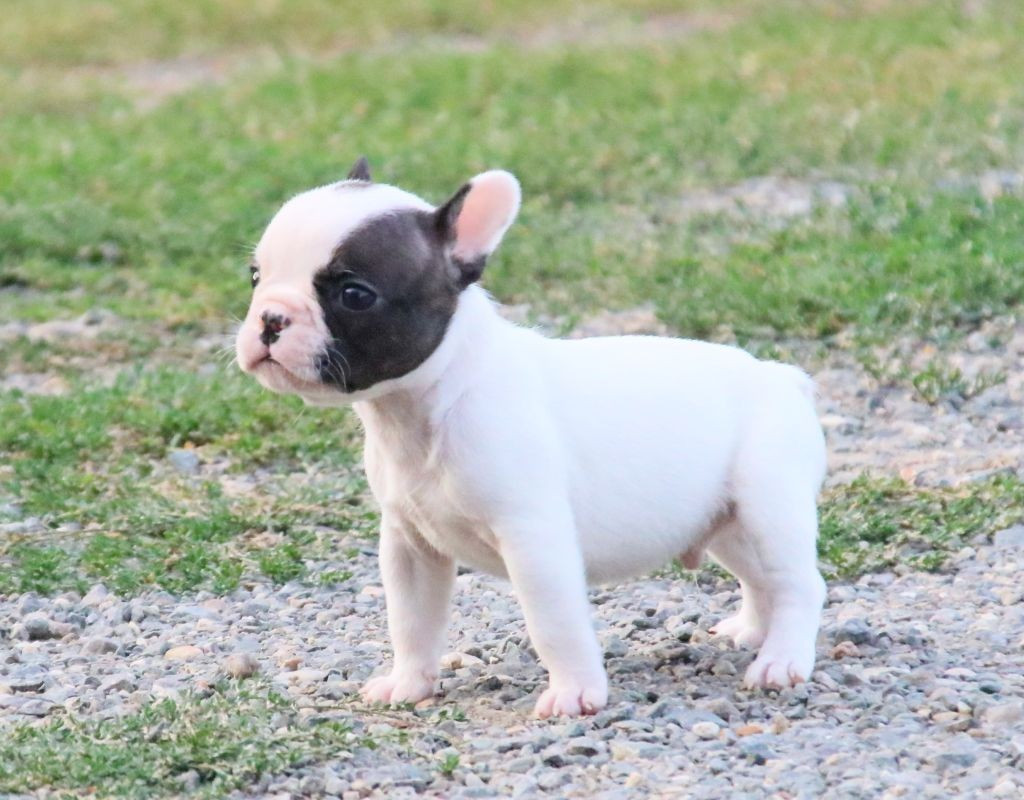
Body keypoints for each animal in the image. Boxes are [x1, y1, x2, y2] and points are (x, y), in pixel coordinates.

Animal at [235, 155, 827, 717]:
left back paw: (781, 660)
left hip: (769, 504)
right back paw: (750, 631)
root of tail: (782, 377)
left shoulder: (533, 539)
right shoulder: (409, 544)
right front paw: (408, 685)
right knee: (760, 578)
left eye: (354, 294)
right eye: (255, 276)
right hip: (725, 522)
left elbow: (553, 622)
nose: (270, 318)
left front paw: (575, 693)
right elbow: (411, 620)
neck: (426, 404)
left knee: (797, 582)